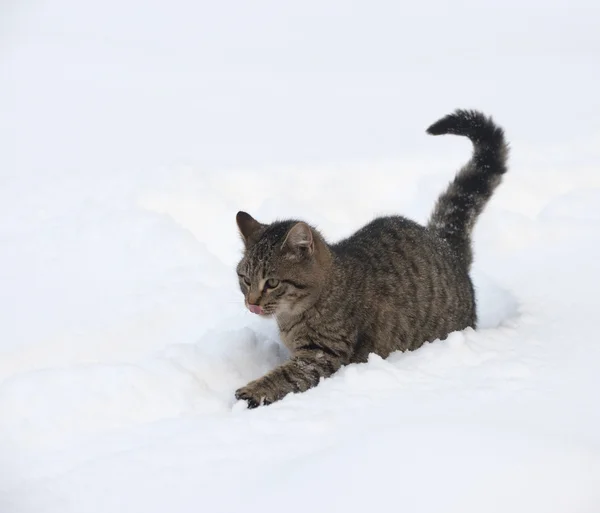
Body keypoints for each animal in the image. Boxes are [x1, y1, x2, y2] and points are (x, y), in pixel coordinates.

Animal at [233, 109, 506, 408]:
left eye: (271, 283)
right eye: (245, 279)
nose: (251, 303)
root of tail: (446, 245)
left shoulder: (322, 354)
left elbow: (285, 376)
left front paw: (253, 391)